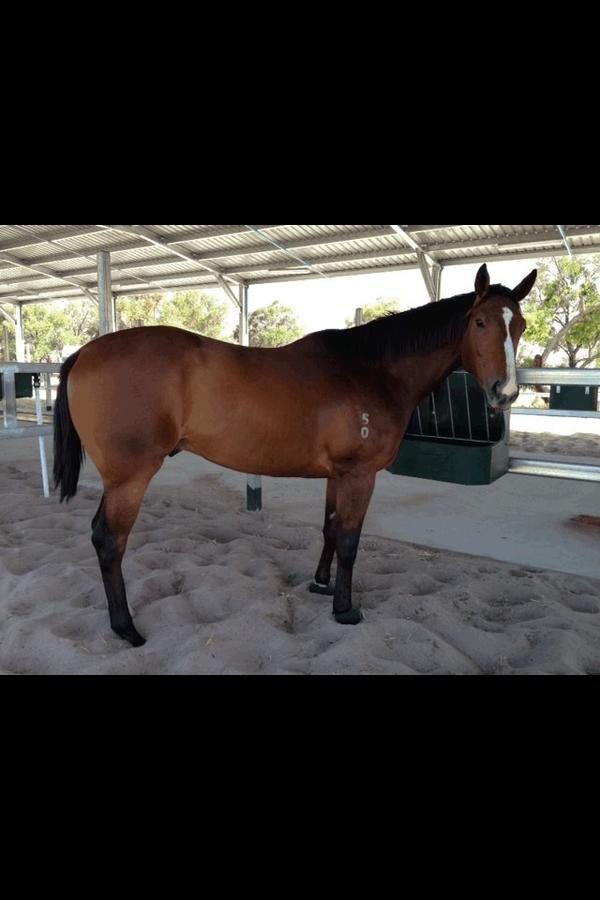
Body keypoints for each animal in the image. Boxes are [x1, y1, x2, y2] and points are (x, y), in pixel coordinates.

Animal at [53, 264, 537, 647]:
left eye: (520, 325)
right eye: (479, 322)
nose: (505, 392)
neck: (370, 370)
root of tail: (84, 352)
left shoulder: (337, 476)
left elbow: (330, 529)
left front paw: (321, 585)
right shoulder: (360, 475)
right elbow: (350, 540)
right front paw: (345, 609)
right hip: (130, 478)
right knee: (109, 541)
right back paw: (126, 629)